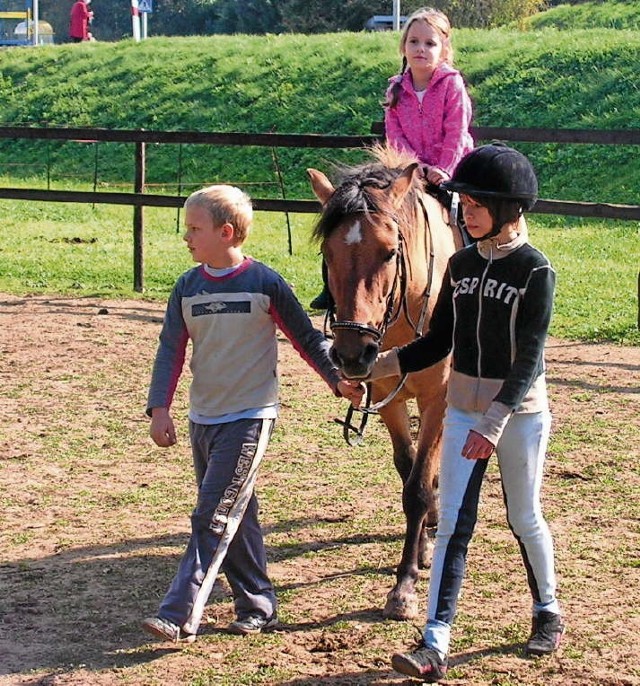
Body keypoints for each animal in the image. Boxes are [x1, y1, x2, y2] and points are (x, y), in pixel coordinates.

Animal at [308, 142, 462, 620]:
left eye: (391, 252)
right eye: (328, 254)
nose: (351, 354)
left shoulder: (438, 399)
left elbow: (418, 486)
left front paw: (405, 587)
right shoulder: (388, 400)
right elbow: (408, 470)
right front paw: (421, 550)